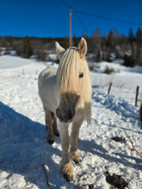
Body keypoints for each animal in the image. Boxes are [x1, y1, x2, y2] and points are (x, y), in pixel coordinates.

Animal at [38, 37, 91, 181]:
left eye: (81, 75)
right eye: (59, 77)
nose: (63, 115)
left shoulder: (79, 118)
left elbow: (74, 136)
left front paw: (76, 156)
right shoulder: (64, 121)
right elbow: (65, 141)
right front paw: (67, 168)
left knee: (52, 118)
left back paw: (56, 132)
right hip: (46, 105)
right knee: (49, 117)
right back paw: (51, 137)